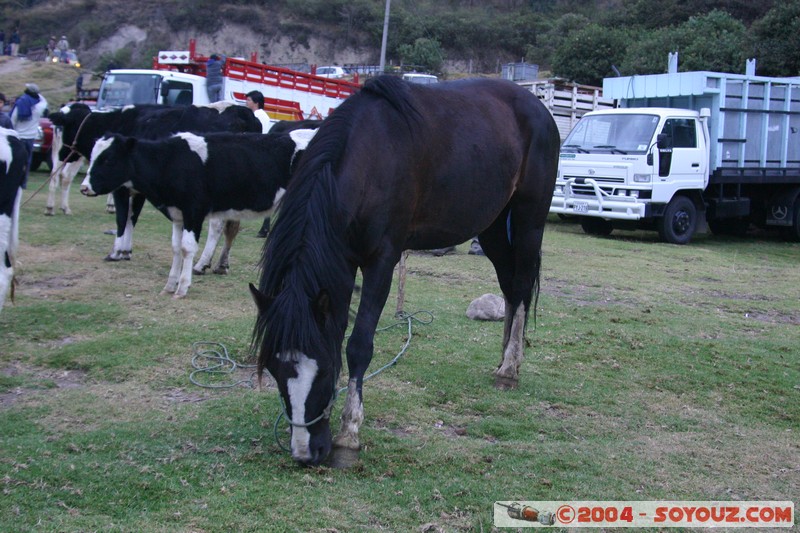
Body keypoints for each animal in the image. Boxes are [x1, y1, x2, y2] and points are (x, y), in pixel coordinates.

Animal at [47, 103, 260, 270]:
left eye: (61, 127)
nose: (59, 153)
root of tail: (243, 114)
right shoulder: (139, 189)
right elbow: (132, 217)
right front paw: (126, 251)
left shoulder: (122, 188)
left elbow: (122, 218)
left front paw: (115, 252)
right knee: (231, 227)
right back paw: (220, 264)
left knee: (217, 226)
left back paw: (202, 264)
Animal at [80, 128, 312, 296]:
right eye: (92, 156)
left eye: (108, 159)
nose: (84, 187)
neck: (170, 161)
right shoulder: (177, 215)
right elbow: (175, 248)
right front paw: (170, 285)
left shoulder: (194, 212)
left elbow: (187, 247)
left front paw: (183, 287)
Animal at [248, 76, 556, 466]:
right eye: (274, 369)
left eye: (323, 369)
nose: (306, 453)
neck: (368, 157)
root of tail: (538, 105)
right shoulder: (342, 263)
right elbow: (338, 330)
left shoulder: (382, 260)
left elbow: (358, 345)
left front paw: (349, 435)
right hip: (493, 226)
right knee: (511, 287)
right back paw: (503, 361)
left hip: (530, 218)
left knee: (523, 283)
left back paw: (511, 368)